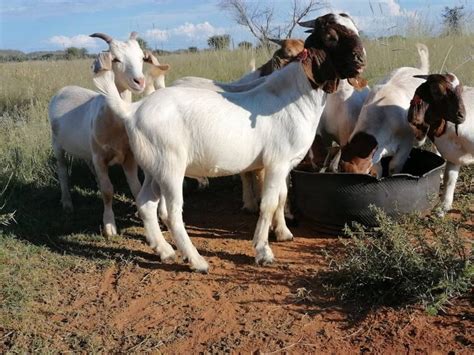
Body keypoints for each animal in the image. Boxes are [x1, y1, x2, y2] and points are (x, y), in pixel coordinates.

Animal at [48, 32, 169, 236]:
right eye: (116, 59)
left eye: (141, 58)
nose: (139, 81)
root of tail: (63, 89)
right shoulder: (100, 157)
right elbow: (107, 191)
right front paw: (109, 226)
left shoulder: (128, 157)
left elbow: (136, 188)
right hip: (57, 143)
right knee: (63, 171)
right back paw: (67, 203)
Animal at [406, 73, 472, 216]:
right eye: (436, 90)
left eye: (460, 90)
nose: (461, 115)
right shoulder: (453, 155)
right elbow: (449, 180)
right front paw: (443, 208)